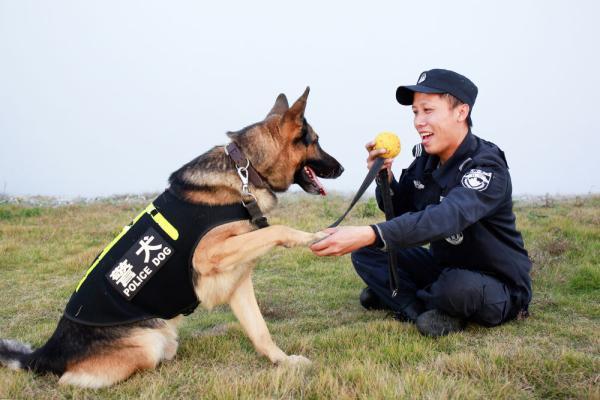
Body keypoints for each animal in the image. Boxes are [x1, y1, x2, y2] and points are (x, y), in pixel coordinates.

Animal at [0, 88, 344, 388]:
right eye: (316, 141)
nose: (342, 168)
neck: (246, 169)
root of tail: (46, 353)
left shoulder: (237, 279)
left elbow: (260, 331)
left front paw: (282, 361)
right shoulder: (209, 254)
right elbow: (276, 230)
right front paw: (310, 236)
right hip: (148, 340)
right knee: (72, 379)